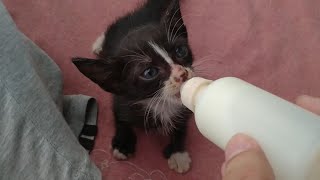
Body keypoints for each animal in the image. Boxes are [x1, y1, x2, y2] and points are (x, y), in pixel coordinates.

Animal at [72, 0, 192, 174]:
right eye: (150, 72)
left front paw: (178, 153)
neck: (158, 102)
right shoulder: (120, 99)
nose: (182, 74)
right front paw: (123, 143)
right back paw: (99, 44)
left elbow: (182, 125)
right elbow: (121, 118)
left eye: (180, 50)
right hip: (115, 30)